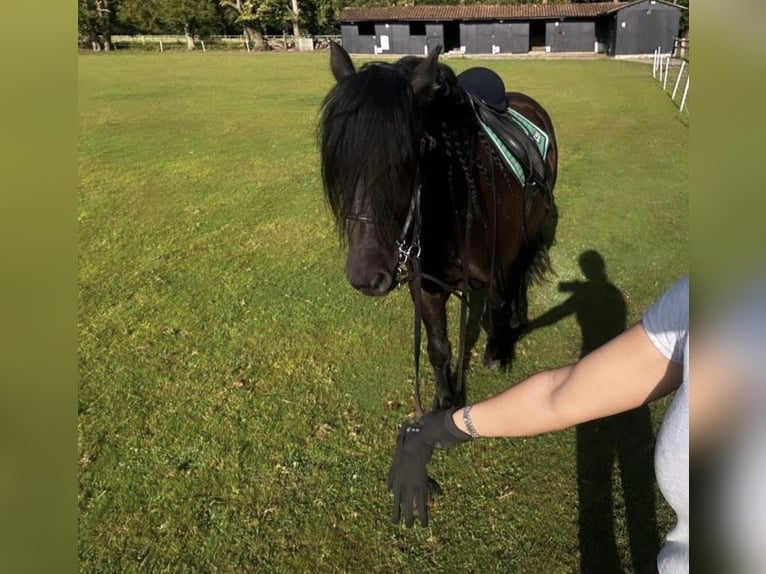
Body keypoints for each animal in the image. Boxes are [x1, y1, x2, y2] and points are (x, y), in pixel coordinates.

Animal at [318, 42, 558, 412]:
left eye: (407, 159)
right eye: (338, 161)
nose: (366, 277)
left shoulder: (496, 273)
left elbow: (494, 314)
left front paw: (497, 353)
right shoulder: (428, 287)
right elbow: (438, 347)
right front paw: (445, 401)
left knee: (522, 269)